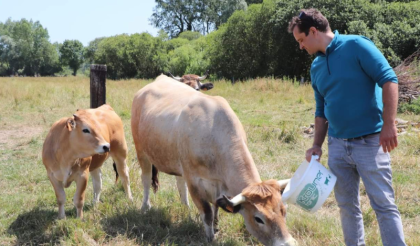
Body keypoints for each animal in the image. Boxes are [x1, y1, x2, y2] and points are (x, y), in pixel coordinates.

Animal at [130, 75, 296, 246]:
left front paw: (215, 226)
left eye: (284, 211)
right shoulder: (194, 181)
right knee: (146, 178)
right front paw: (210, 237)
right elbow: (207, 212)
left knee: (179, 182)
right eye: (258, 219)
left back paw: (185, 207)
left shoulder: (218, 186)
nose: (288, 243)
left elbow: (215, 207)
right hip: (141, 150)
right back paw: (145, 206)